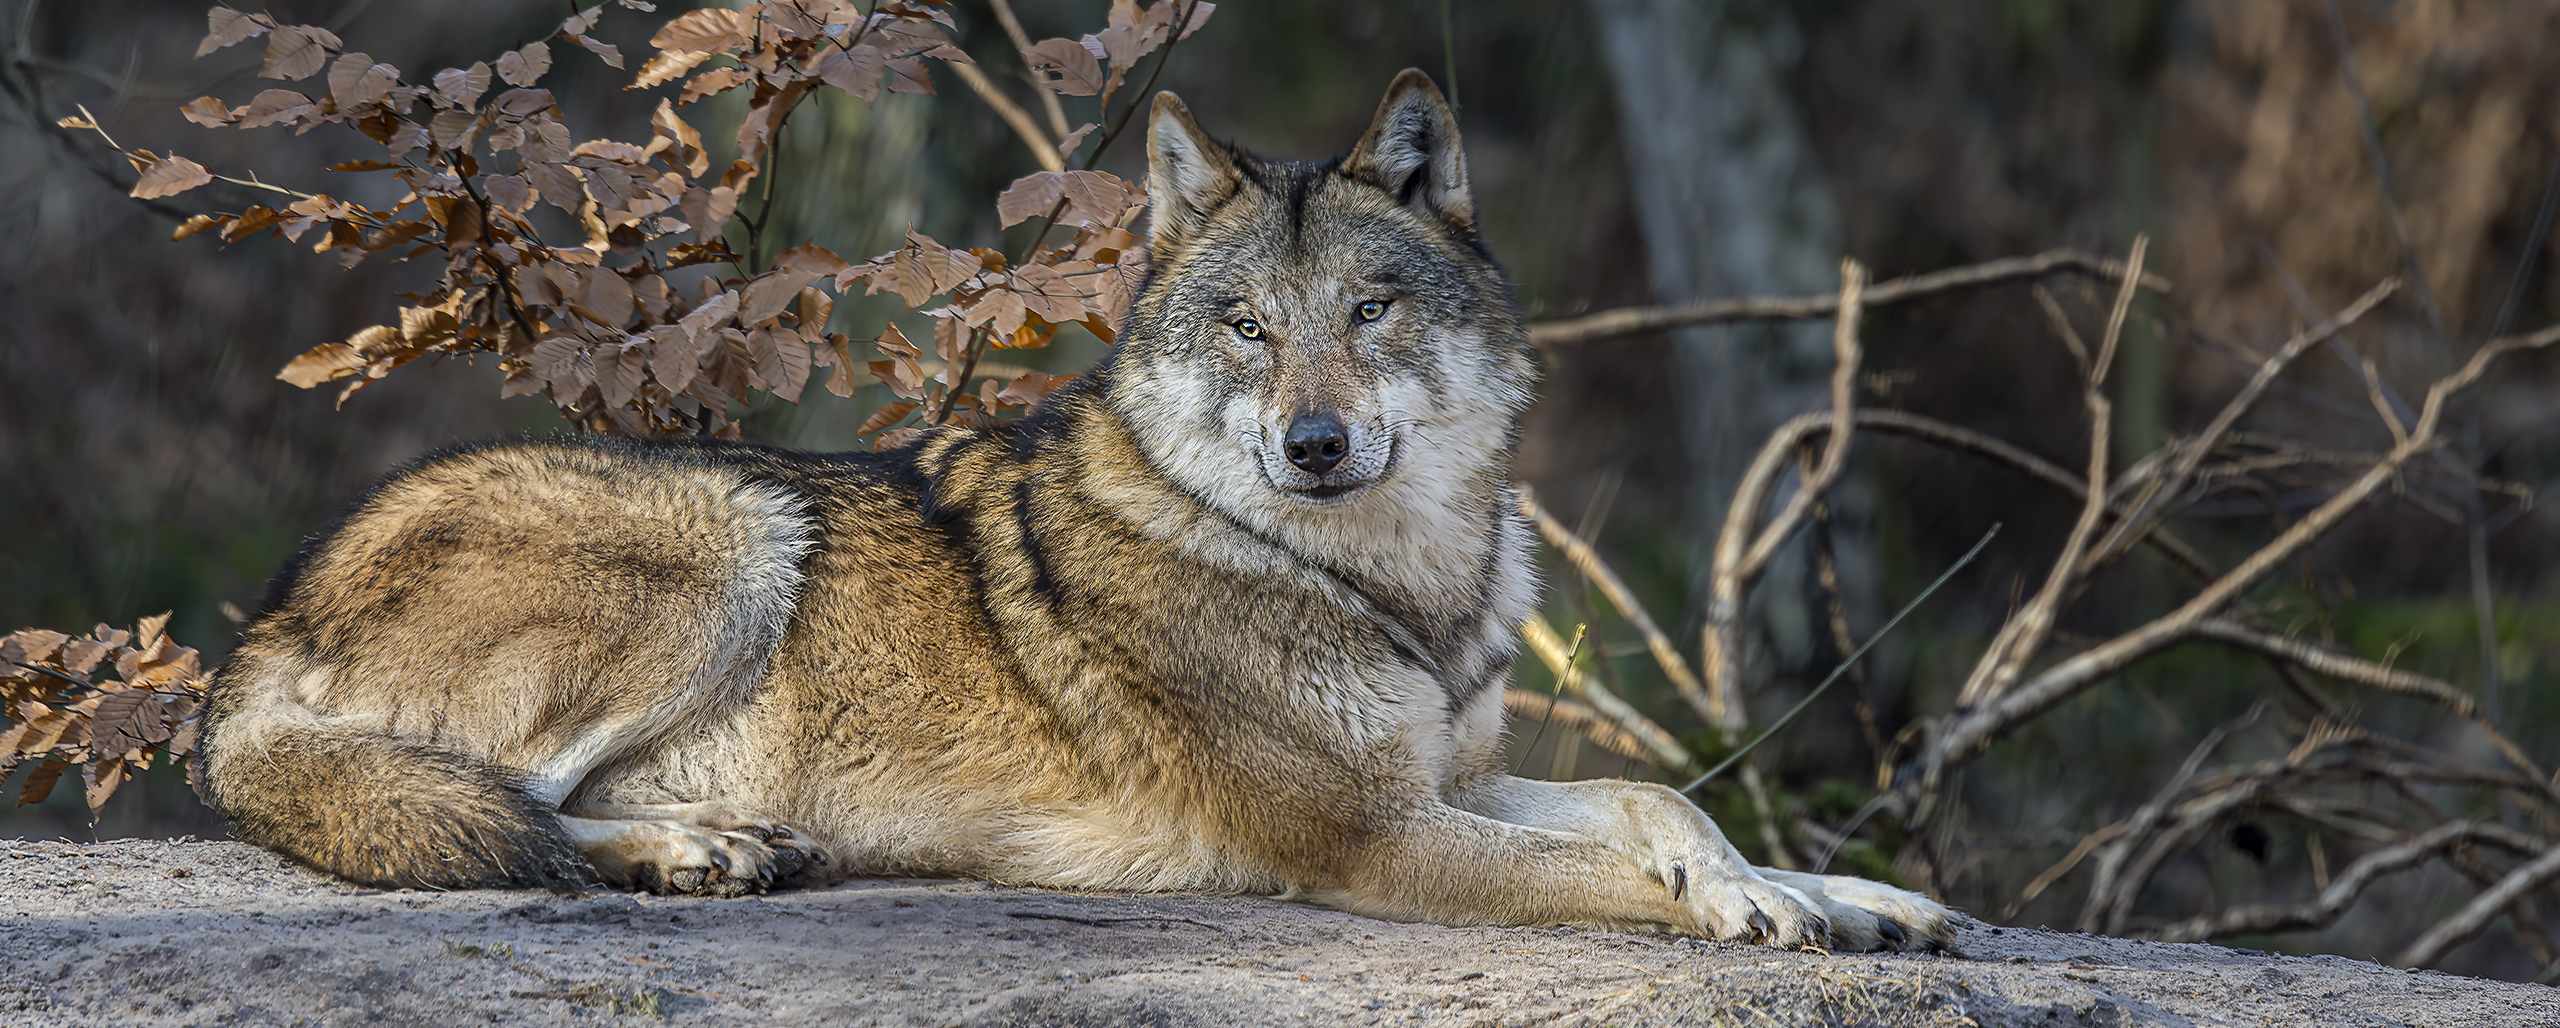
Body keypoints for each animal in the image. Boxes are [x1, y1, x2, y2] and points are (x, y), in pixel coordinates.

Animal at [204, 70, 1955, 946]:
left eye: (1368, 311)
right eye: (1246, 326)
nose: (1314, 442)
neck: (1381, 581)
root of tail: (264, 624)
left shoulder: (1443, 778)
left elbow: (1662, 805)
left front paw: (1853, 899)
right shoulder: (1367, 839)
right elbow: (1630, 868)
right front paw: (1755, 906)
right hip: (733, 530)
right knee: (486, 814)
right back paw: (694, 852)